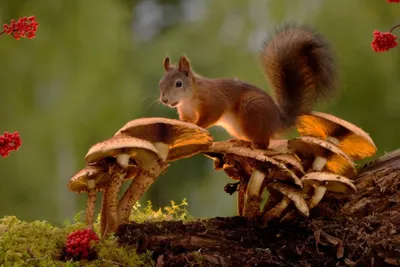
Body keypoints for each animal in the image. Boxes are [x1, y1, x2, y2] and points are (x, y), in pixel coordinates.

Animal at [159, 24, 338, 151]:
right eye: (160, 83)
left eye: (178, 83)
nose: (164, 100)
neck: (188, 99)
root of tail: (277, 121)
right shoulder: (186, 111)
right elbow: (186, 120)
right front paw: (181, 124)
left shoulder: (213, 100)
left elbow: (211, 114)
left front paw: (199, 126)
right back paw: (239, 141)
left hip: (251, 110)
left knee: (264, 144)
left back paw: (250, 144)